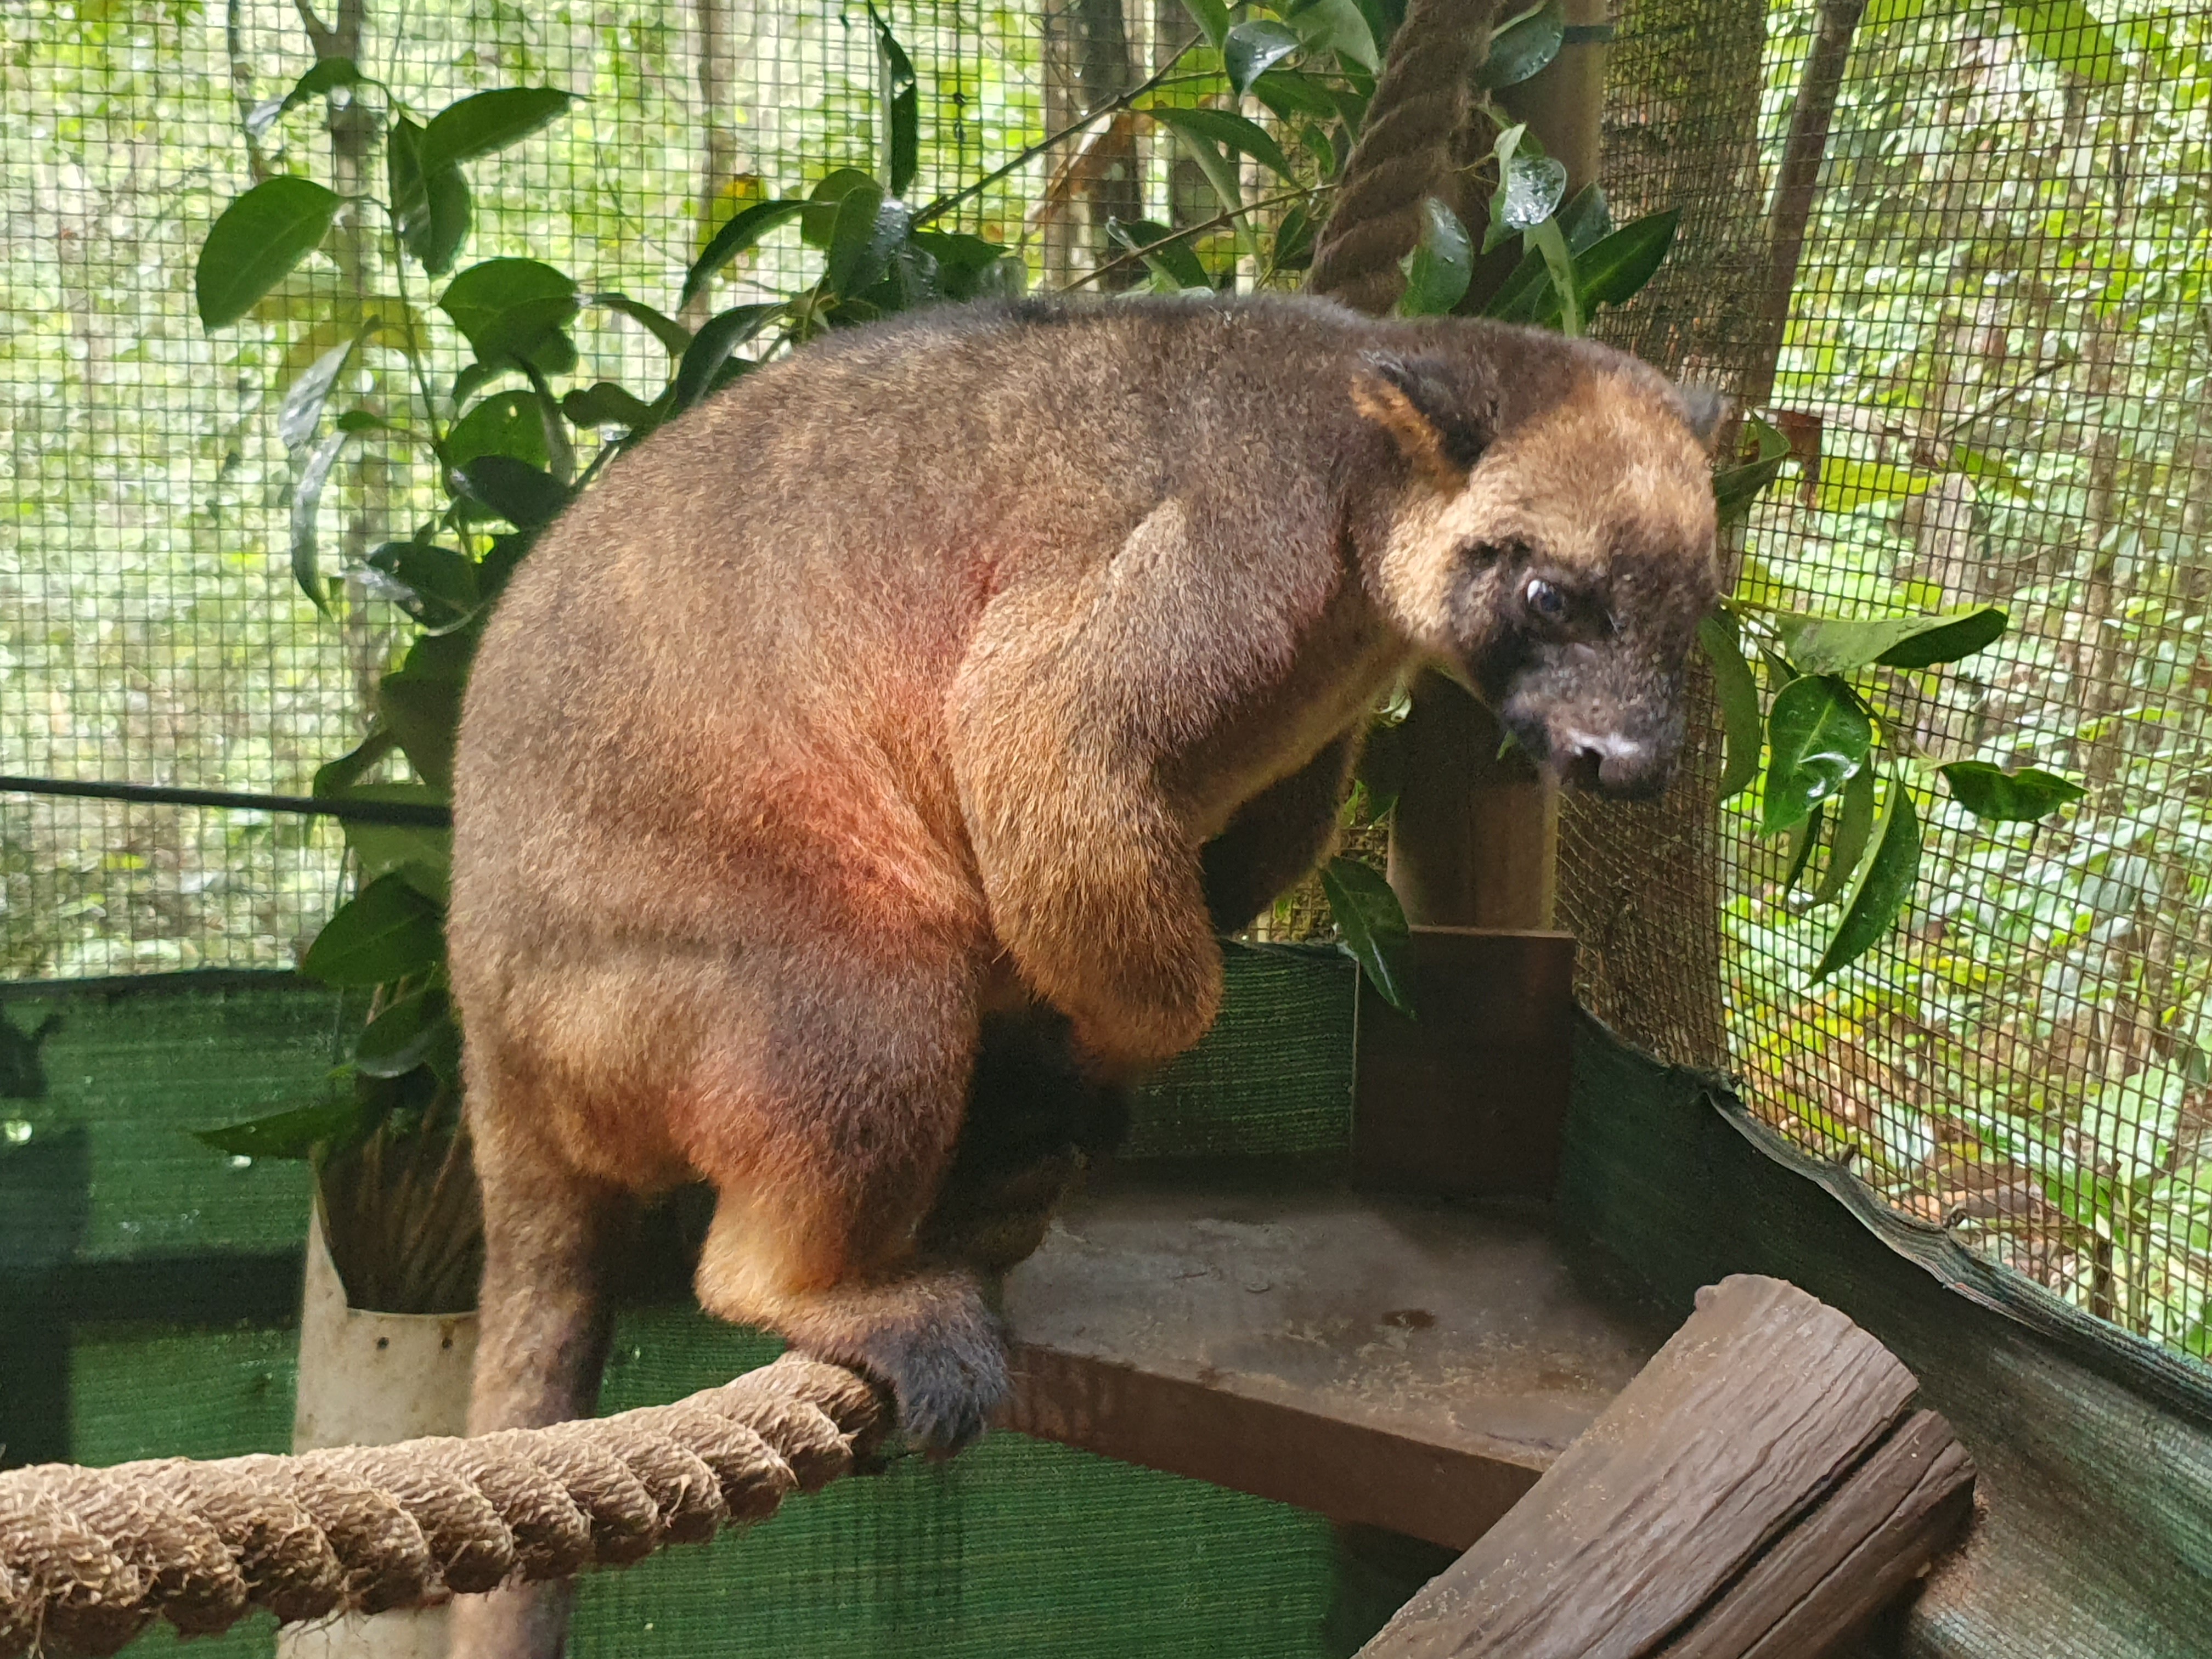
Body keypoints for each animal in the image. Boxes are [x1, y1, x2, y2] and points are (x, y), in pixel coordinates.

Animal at [443, 291, 1720, 1654]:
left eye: (1692, 619)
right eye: (1551, 597)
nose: (1632, 758)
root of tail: (490, 1032)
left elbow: (1245, 838)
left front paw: (1070, 1067)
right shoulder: (1247, 534)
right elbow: (1044, 742)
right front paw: (1109, 1043)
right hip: (625, 1003)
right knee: (870, 980)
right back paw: (821, 1279)